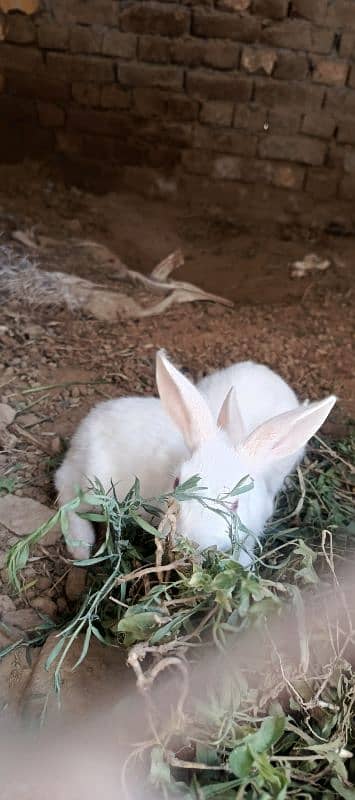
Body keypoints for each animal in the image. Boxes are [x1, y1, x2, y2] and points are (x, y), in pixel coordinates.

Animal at [55, 354, 336, 564]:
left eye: (234, 504)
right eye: (177, 483)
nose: (189, 541)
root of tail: (84, 429)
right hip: (92, 483)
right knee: (66, 497)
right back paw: (81, 547)